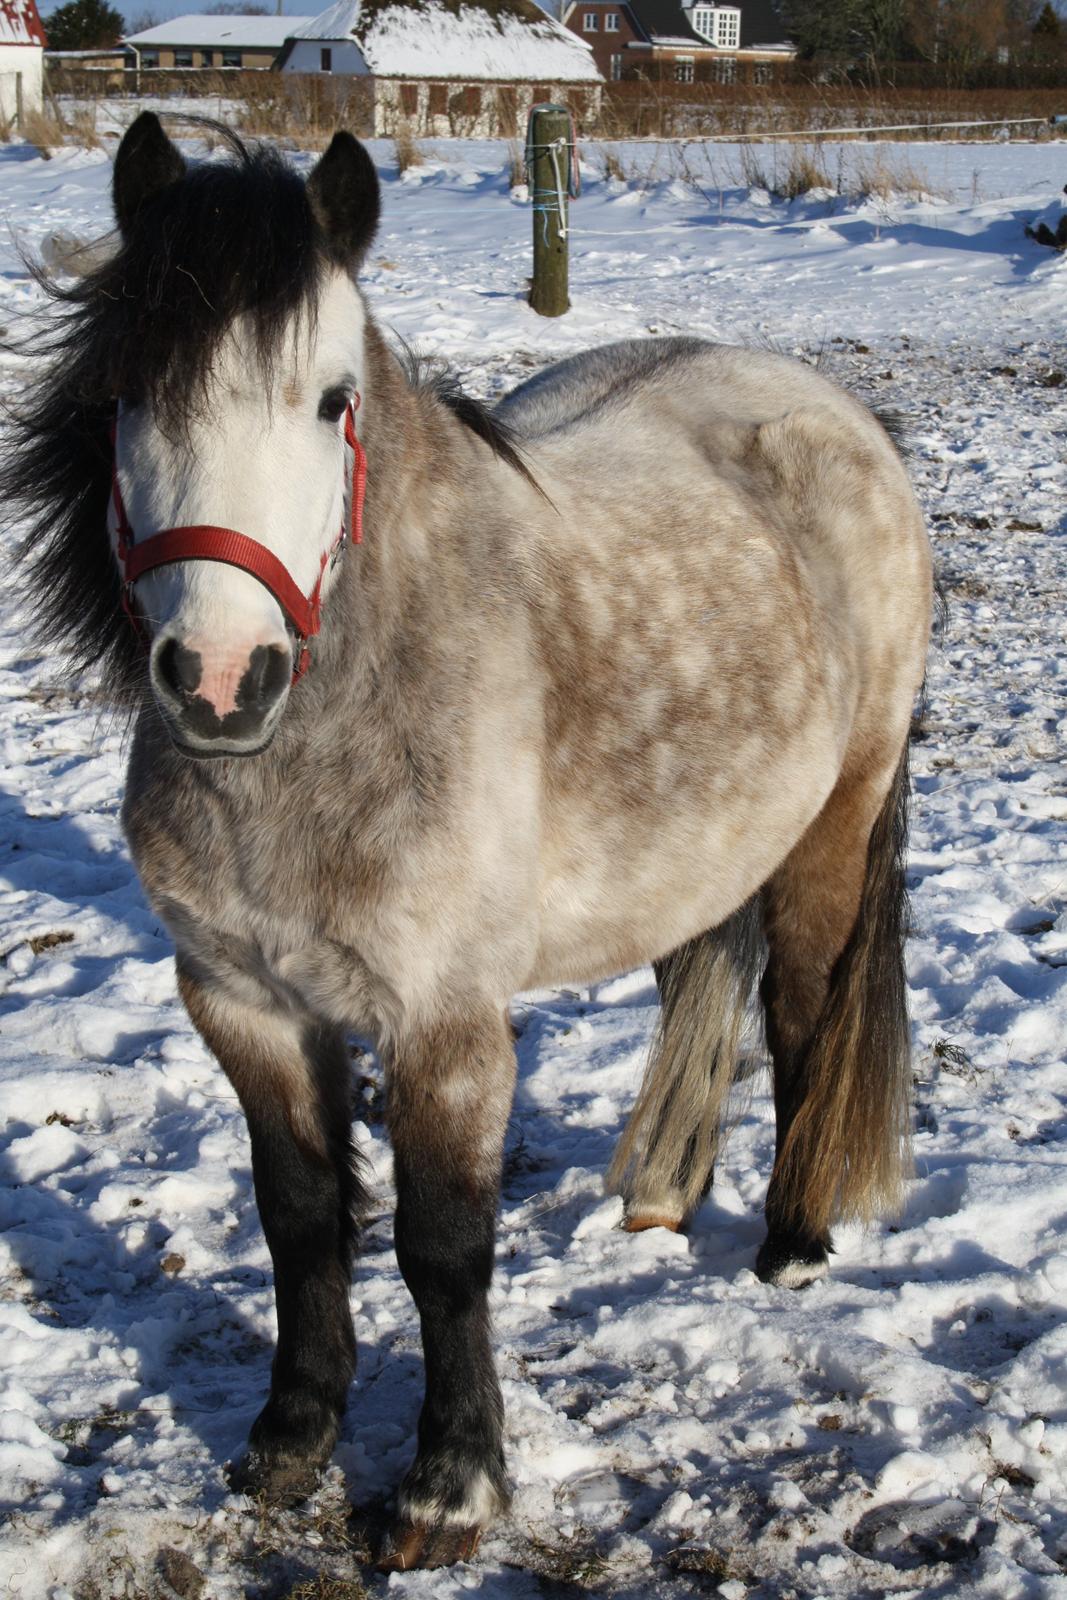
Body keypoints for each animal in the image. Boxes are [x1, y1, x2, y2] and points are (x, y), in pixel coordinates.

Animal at [4, 118, 927, 1568]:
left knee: (801, 1013)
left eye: (331, 401)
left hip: (832, 822)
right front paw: (290, 1438)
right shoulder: (242, 1003)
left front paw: (447, 1488)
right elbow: (299, 1217)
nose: (218, 678)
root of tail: (828, 414)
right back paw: (661, 1202)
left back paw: (788, 1244)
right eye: (126, 394)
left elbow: (442, 1251)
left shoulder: (441, 1022)